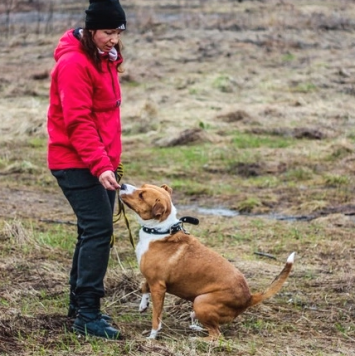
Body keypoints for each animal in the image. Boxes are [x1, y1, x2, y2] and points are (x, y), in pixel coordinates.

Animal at [119, 184, 294, 340]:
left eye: (141, 195)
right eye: (142, 186)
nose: (122, 185)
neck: (160, 231)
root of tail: (249, 297)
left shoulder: (158, 286)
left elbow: (156, 316)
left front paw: (152, 336)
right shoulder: (152, 280)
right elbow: (143, 286)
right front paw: (143, 305)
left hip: (200, 301)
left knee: (216, 335)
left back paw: (195, 339)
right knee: (210, 326)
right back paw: (196, 328)